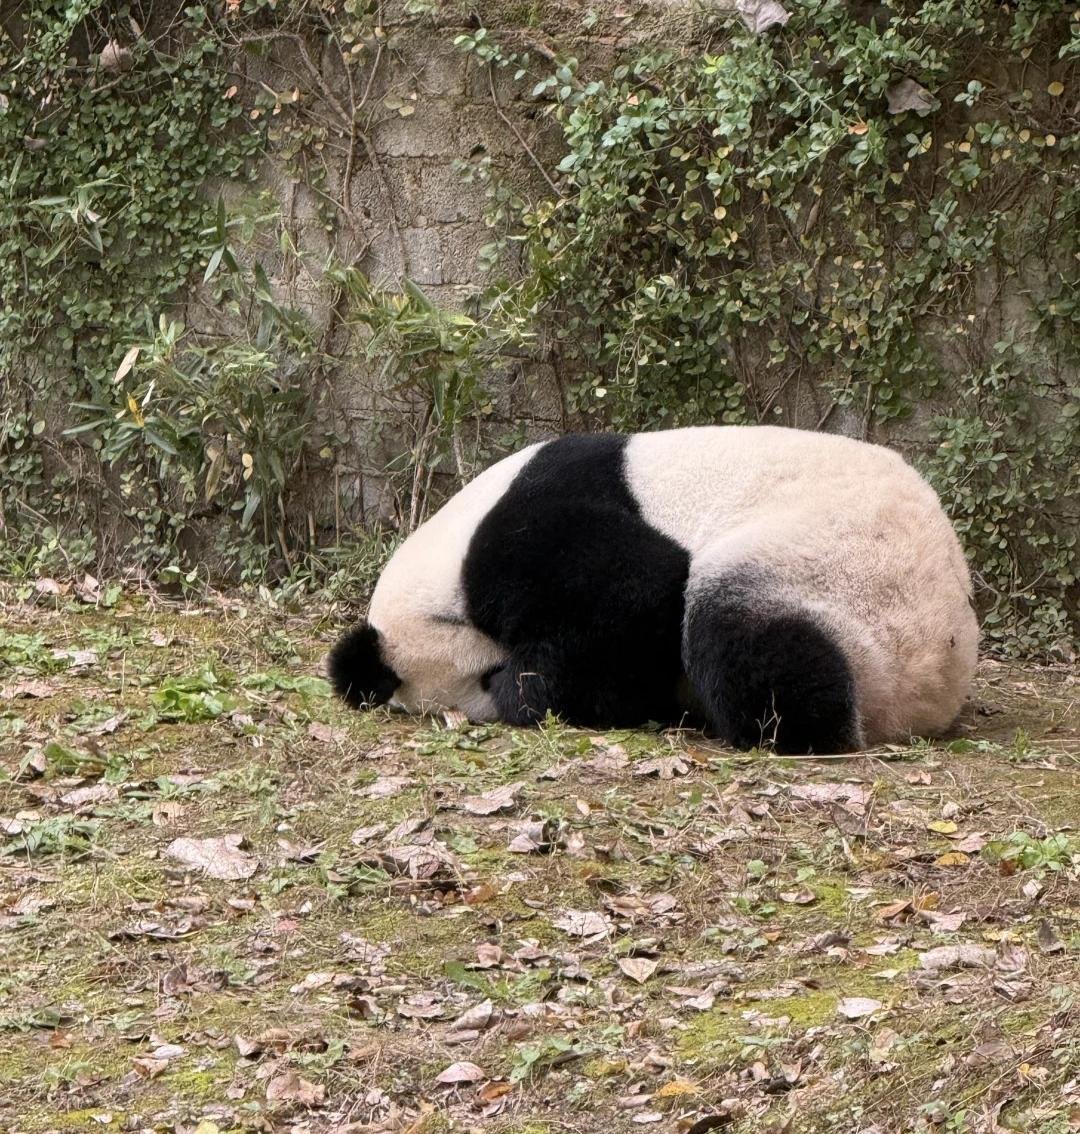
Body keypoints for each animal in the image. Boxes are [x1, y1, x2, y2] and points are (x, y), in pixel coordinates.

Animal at [327, 426, 979, 754]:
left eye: (487, 677)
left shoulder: (535, 527)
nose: (499, 686)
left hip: (845, 566)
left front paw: (537, 695)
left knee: (735, 628)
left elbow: (637, 593)